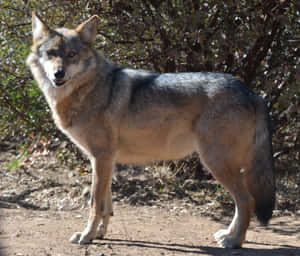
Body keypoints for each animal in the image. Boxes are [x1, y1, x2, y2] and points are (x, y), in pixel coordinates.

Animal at [27, 13, 276, 248]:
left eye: (72, 55)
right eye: (51, 53)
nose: (58, 74)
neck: (88, 89)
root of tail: (252, 93)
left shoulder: (102, 157)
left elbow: (94, 204)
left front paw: (86, 236)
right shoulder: (103, 160)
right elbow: (106, 205)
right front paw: (99, 234)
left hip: (215, 163)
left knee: (247, 201)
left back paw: (235, 242)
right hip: (223, 165)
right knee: (242, 202)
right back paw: (228, 234)